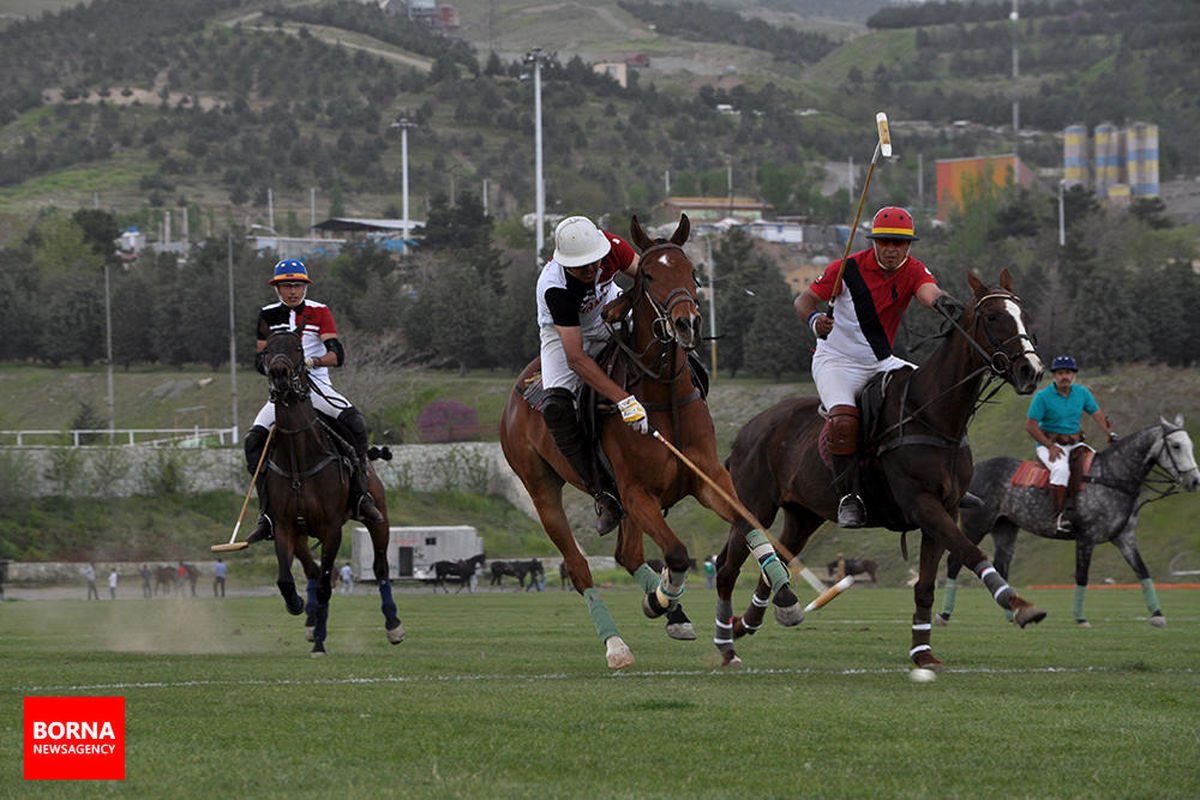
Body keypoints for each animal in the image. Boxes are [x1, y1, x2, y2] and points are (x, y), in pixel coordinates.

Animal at [260, 328, 405, 652]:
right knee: (311, 571)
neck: (299, 460)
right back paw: (312, 620)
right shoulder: (285, 526)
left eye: (298, 348)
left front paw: (319, 643)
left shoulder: (332, 529)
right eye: (265, 351)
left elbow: (328, 584)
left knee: (380, 568)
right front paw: (299, 607)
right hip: (301, 534)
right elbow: (286, 580)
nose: (279, 375)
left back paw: (393, 625)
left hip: (380, 518)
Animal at [494, 214, 787, 671]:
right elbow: (679, 553)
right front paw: (661, 598)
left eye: (692, 272)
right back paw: (618, 644)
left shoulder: (708, 478)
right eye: (650, 275)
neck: (663, 393)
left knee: (628, 555)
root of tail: (519, 385)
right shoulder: (637, 493)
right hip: (543, 489)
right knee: (579, 567)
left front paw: (785, 592)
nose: (687, 324)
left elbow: (749, 521)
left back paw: (673, 613)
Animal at [715, 268, 1046, 671]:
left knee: (777, 556)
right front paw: (1019, 605)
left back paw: (758, 619)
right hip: (754, 505)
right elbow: (969, 551)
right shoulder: (921, 503)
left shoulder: (946, 507)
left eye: (1024, 316)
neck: (934, 416)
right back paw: (726, 645)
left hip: (803, 515)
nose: (1031, 371)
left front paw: (923, 653)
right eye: (994, 317)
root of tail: (746, 430)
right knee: (727, 567)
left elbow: (925, 585)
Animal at [936, 417, 1200, 628]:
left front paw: (1158, 615)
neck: (1113, 478)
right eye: (1176, 446)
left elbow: (1143, 571)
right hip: (976, 525)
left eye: (1190, 445)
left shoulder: (1125, 537)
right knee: (955, 561)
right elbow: (1082, 576)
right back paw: (944, 615)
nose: (1194, 481)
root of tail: (975, 468)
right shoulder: (1086, 537)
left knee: (1001, 566)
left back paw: (1014, 614)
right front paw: (1081, 618)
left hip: (1006, 528)